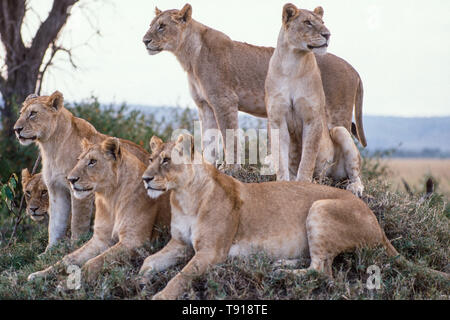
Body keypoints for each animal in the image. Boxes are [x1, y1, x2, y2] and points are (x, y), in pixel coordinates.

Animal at [13, 91, 149, 251]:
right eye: (21, 114)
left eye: (33, 113)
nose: (16, 129)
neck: (51, 147)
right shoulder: (55, 189)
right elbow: (55, 224)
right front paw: (49, 251)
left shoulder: (80, 189)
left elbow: (77, 222)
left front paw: (74, 245)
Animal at [26, 138, 171, 282]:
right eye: (78, 160)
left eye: (92, 161)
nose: (71, 179)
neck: (111, 197)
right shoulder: (100, 239)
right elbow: (68, 258)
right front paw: (39, 274)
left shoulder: (134, 241)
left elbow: (95, 261)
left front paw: (73, 280)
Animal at [138, 133, 446, 300]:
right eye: (151, 159)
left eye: (166, 160)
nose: (145, 179)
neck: (183, 197)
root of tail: (376, 221)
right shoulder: (180, 243)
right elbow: (148, 261)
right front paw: (141, 280)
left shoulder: (211, 251)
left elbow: (181, 276)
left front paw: (160, 294)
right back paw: (278, 264)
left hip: (320, 207)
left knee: (322, 271)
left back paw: (281, 272)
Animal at [142, 3, 368, 165]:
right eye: (151, 25)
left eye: (162, 26)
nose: (144, 41)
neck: (188, 55)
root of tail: (354, 70)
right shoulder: (205, 106)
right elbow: (209, 142)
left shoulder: (224, 101)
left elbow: (229, 139)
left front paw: (231, 169)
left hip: (337, 114)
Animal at [266, 3, 364, 195]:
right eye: (307, 22)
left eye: (322, 22)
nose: (327, 34)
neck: (292, 63)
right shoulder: (277, 119)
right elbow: (281, 159)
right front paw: (284, 181)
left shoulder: (313, 118)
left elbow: (308, 157)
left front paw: (303, 183)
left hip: (340, 131)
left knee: (355, 173)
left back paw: (354, 187)